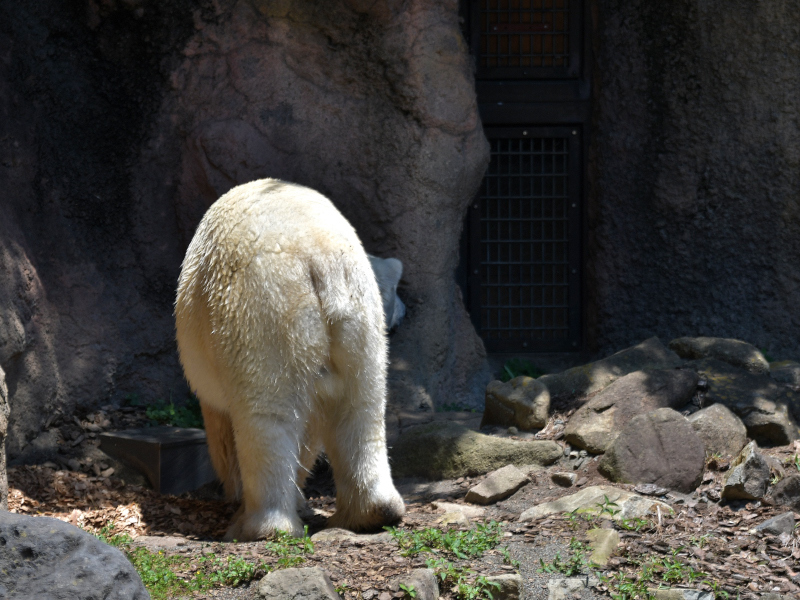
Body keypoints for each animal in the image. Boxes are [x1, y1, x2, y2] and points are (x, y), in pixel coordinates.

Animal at [179, 178, 410, 540]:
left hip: (262, 310)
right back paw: (371, 512)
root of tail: (320, 259)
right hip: (360, 317)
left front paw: (235, 494)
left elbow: (221, 424)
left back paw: (262, 526)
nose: (404, 309)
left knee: (266, 414)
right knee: (362, 404)